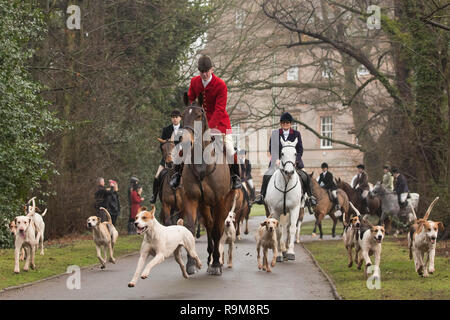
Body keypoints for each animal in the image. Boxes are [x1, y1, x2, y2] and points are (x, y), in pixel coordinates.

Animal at [178, 92, 230, 276]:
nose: (184, 140)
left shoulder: (220, 202)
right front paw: (191, 263)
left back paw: (215, 260)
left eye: (199, 115)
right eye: (183, 115)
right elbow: (190, 226)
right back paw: (208, 256)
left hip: (223, 205)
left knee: (216, 227)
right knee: (208, 225)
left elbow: (217, 230)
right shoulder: (191, 199)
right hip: (204, 205)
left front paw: (216, 264)